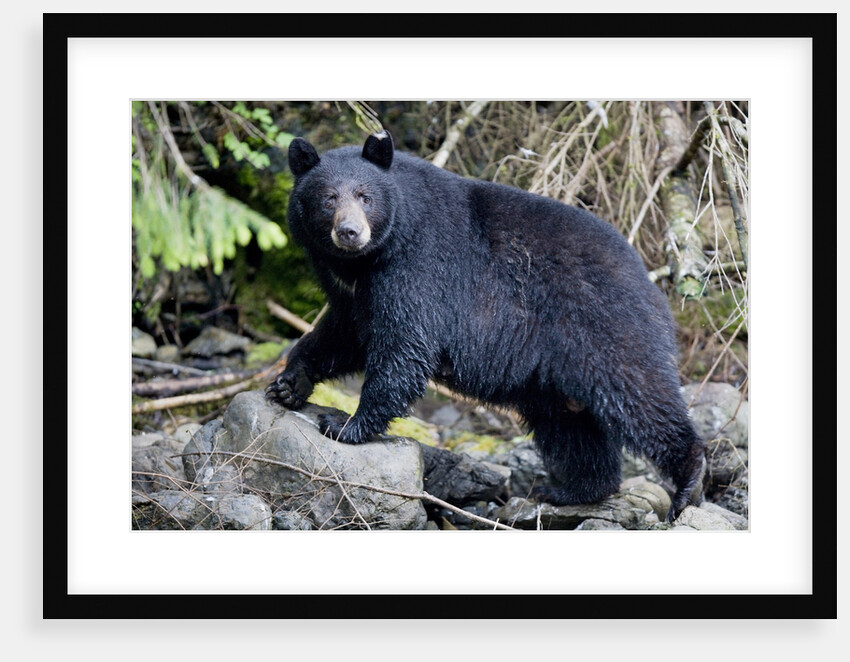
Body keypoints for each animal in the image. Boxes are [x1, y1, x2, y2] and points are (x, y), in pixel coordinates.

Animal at [266, 130, 706, 523]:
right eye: (328, 199)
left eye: (365, 196)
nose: (350, 231)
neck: (365, 262)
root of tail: (652, 286)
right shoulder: (353, 294)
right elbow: (343, 335)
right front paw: (289, 383)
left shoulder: (418, 267)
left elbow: (404, 347)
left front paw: (346, 424)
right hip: (553, 379)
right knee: (571, 427)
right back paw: (572, 490)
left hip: (606, 328)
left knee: (641, 396)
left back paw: (689, 478)